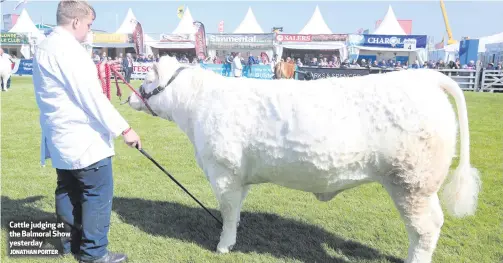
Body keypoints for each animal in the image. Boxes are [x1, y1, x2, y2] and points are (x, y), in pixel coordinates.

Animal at [126, 56, 480, 263]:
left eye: (147, 78)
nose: (129, 97)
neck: (195, 108)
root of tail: (426, 78)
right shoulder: (239, 176)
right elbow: (235, 210)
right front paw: (235, 233)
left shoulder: (223, 171)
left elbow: (226, 211)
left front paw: (223, 245)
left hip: (411, 182)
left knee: (425, 229)